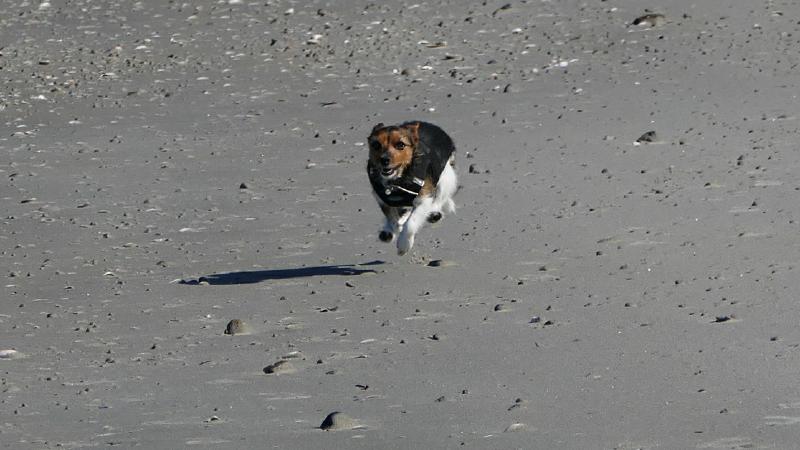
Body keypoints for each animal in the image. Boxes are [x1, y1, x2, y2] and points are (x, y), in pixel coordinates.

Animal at [366, 121, 457, 255]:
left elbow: (410, 223)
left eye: (400, 145)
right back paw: (387, 231)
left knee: (438, 200)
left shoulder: (423, 198)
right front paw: (394, 228)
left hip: (446, 178)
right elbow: (393, 219)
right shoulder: (382, 199)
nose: (384, 160)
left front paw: (404, 244)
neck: (398, 180)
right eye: (376, 145)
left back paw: (434, 214)